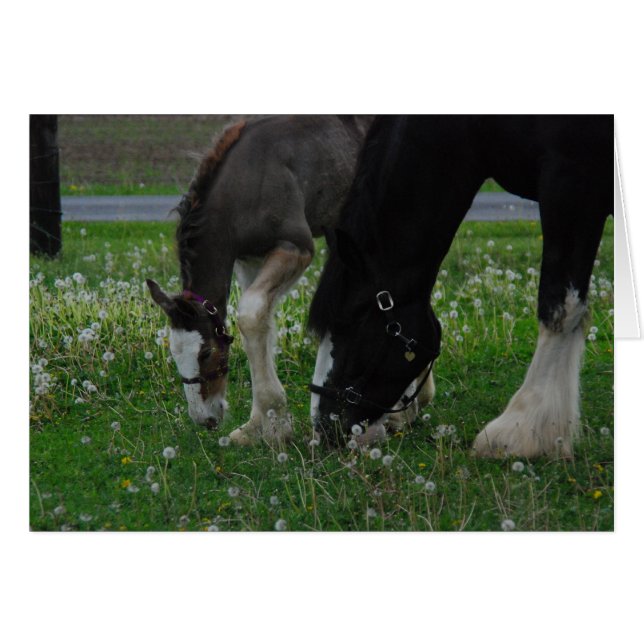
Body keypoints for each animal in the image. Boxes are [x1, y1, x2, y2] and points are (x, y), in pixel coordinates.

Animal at [147, 115, 429, 445]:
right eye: (173, 353)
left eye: (205, 353)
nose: (204, 418)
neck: (245, 182)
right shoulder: (251, 260)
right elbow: (260, 323)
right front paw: (260, 424)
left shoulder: (295, 247)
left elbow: (251, 316)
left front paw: (273, 423)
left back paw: (405, 409)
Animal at [308, 115, 613, 458]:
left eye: (351, 319)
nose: (323, 426)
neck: (474, 125)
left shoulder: (572, 181)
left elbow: (559, 305)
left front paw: (521, 431)